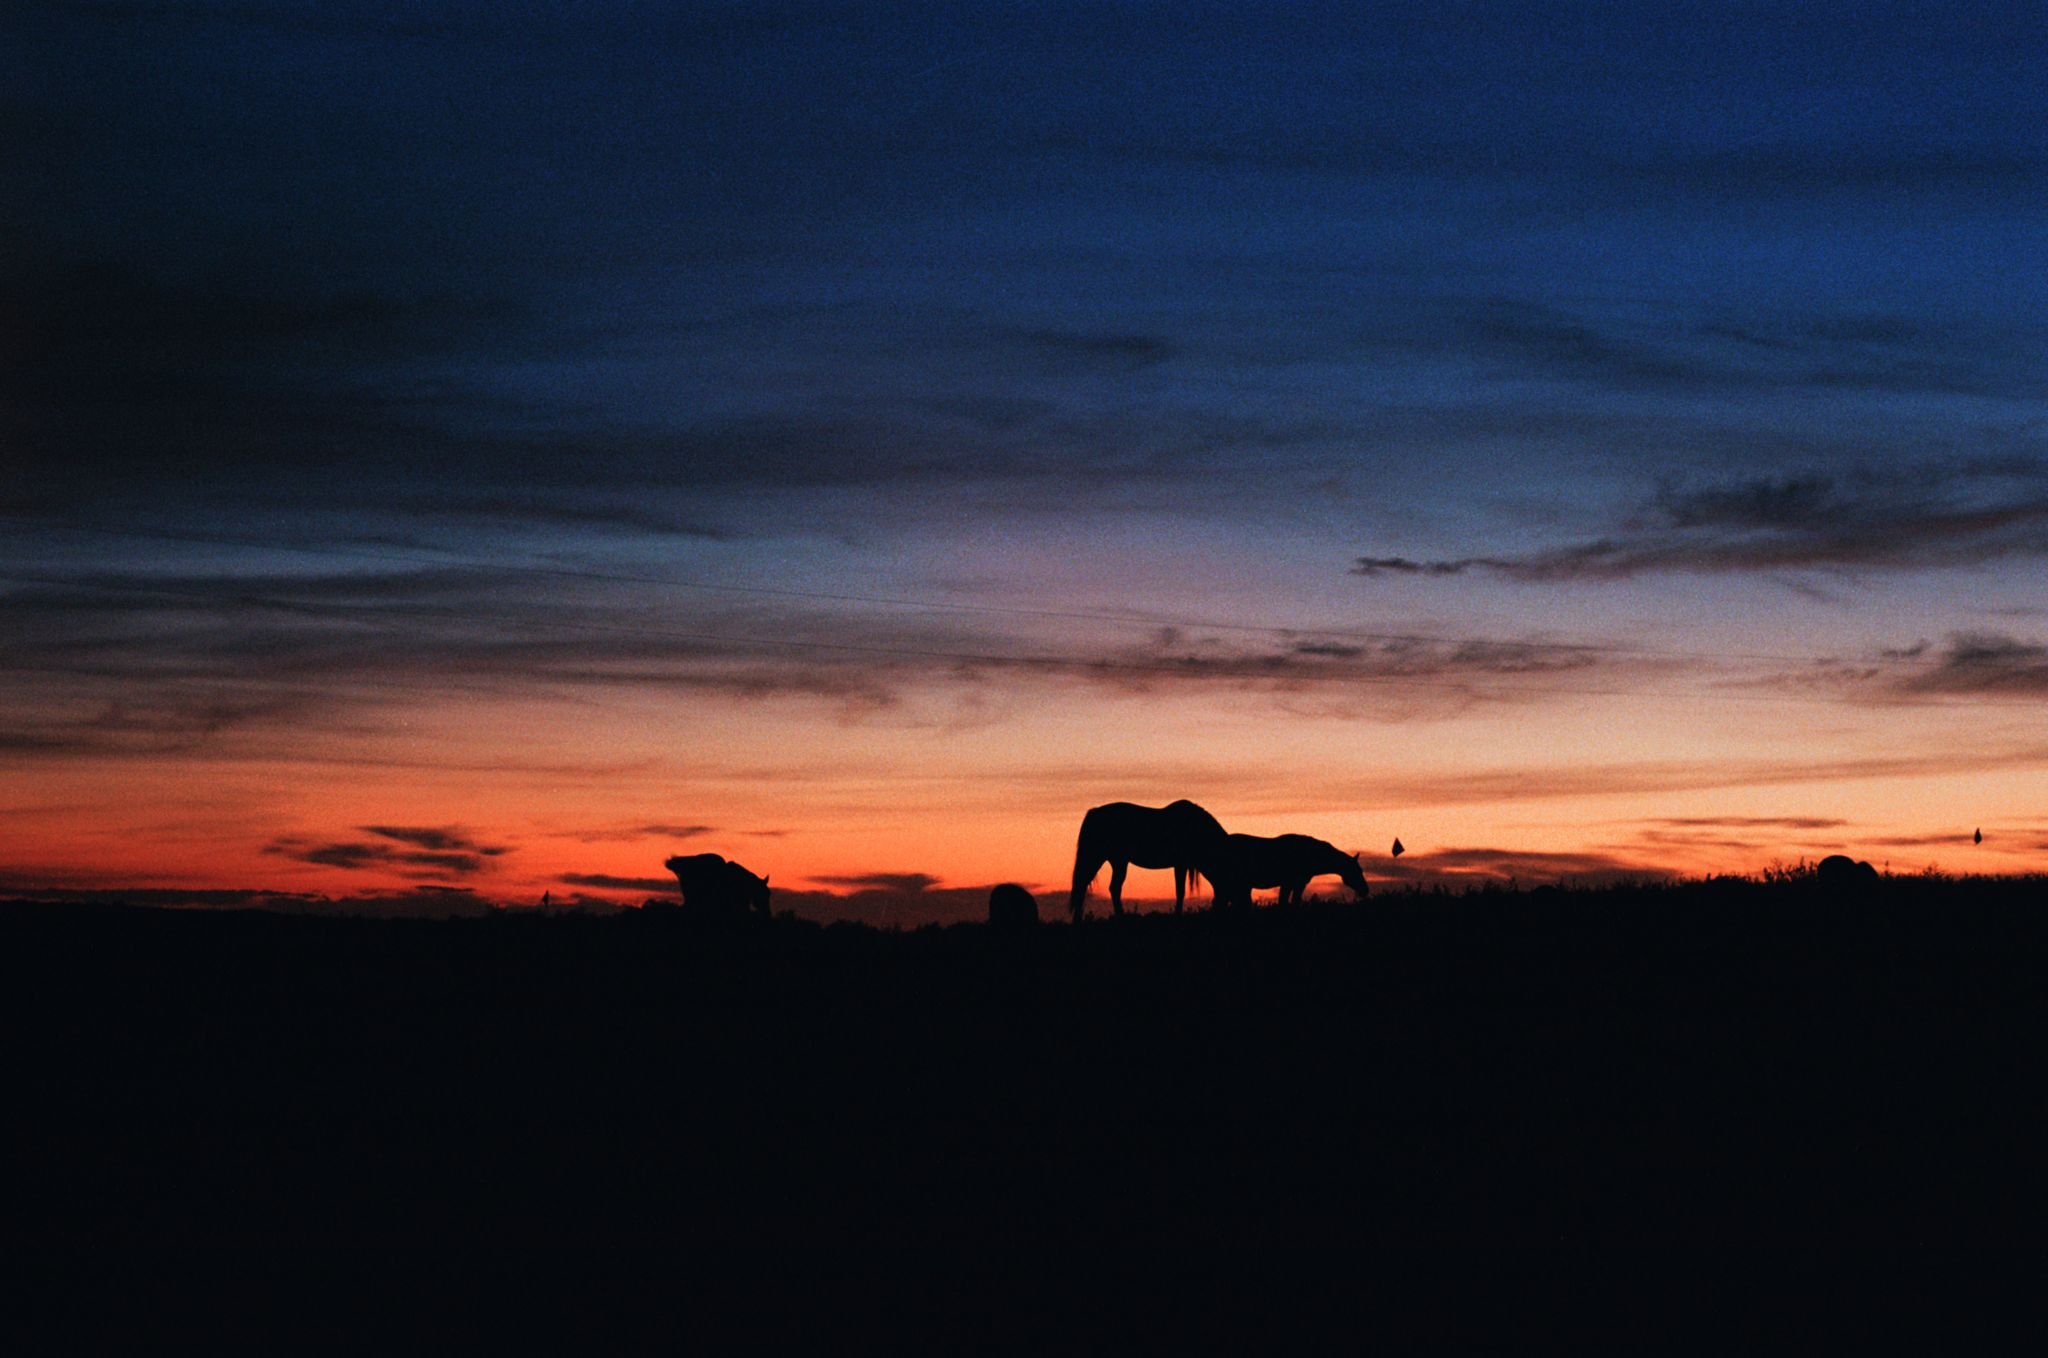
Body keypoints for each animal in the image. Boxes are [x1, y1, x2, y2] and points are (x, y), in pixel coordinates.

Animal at [1067, 799, 1229, 922]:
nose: (1220, 909)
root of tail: (1095, 812)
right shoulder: (1180, 864)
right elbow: (1180, 891)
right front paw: (1178, 915)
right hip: (1104, 859)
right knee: (1094, 886)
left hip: (1113, 860)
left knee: (1100, 886)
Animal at [1207, 833, 1369, 910]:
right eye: (1356, 870)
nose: (1365, 890)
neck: (1312, 855)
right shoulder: (1290, 882)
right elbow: (1286, 901)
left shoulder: (1296, 883)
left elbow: (1290, 901)